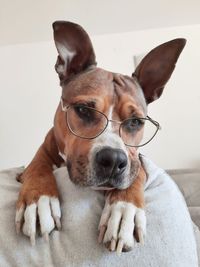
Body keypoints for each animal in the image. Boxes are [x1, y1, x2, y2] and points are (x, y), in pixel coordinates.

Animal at [14, 20, 185, 253]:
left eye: (135, 122)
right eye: (83, 110)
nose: (113, 160)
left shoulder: (137, 161)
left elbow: (136, 175)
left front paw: (124, 210)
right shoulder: (42, 152)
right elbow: (37, 165)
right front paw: (39, 199)